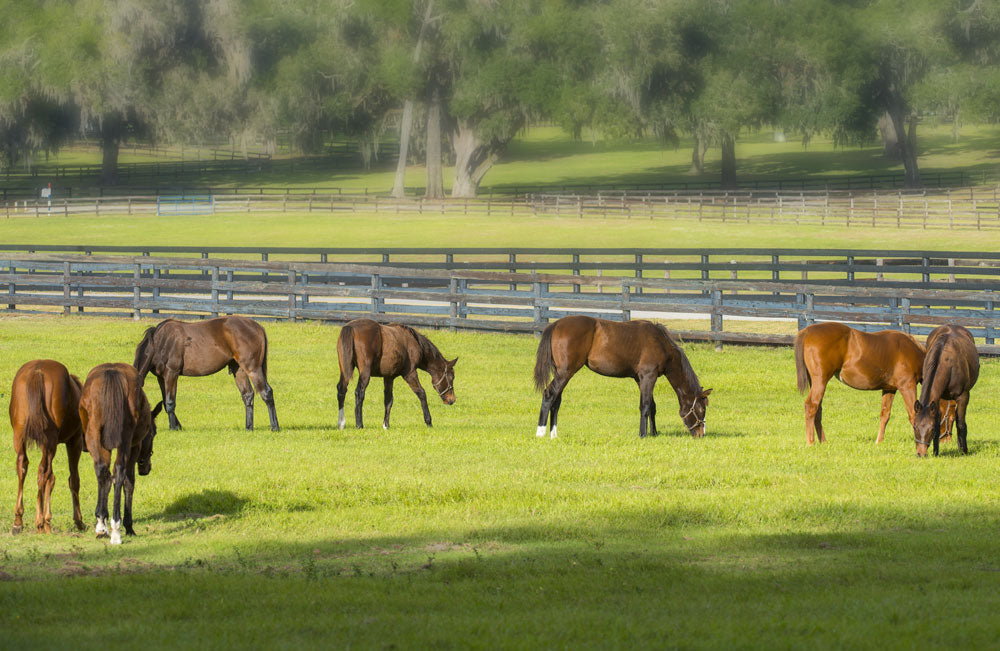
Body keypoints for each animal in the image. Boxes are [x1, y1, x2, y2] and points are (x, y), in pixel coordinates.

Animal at [8, 362, 84, 536]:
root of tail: (38, 371)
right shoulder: (74, 442)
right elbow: (73, 480)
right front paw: (78, 521)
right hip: (50, 442)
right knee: (44, 472)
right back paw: (41, 521)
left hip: (20, 437)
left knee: (23, 467)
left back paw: (18, 521)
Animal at [133, 318, 280, 432]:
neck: (161, 342)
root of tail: (257, 326)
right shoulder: (161, 377)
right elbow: (165, 402)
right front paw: (178, 426)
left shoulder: (171, 373)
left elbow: (170, 402)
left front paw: (173, 428)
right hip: (239, 370)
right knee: (248, 395)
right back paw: (249, 428)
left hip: (253, 368)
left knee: (266, 392)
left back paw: (275, 427)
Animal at [532, 316, 712, 438]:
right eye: (701, 409)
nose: (701, 434)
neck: (660, 342)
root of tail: (556, 324)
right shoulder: (648, 376)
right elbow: (645, 406)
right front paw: (643, 434)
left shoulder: (641, 379)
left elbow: (652, 406)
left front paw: (653, 433)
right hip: (565, 373)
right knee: (549, 395)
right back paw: (540, 433)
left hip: (562, 373)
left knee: (556, 401)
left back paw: (554, 434)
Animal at [792, 324, 924, 446]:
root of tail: (807, 331)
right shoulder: (907, 386)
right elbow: (913, 415)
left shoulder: (889, 389)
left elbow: (885, 414)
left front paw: (879, 442)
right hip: (820, 381)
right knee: (811, 406)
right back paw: (810, 442)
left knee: (818, 409)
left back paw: (823, 441)